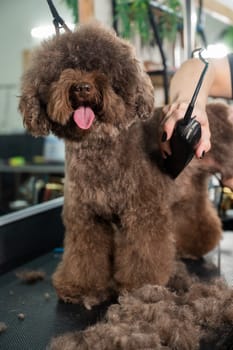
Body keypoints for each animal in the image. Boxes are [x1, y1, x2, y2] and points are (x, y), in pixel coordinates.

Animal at [19, 21, 233, 308]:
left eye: (103, 69)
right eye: (64, 68)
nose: (82, 87)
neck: (99, 149)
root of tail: (219, 110)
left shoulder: (142, 214)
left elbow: (143, 255)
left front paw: (140, 287)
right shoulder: (85, 219)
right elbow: (83, 256)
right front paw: (80, 287)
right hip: (189, 189)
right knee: (198, 215)